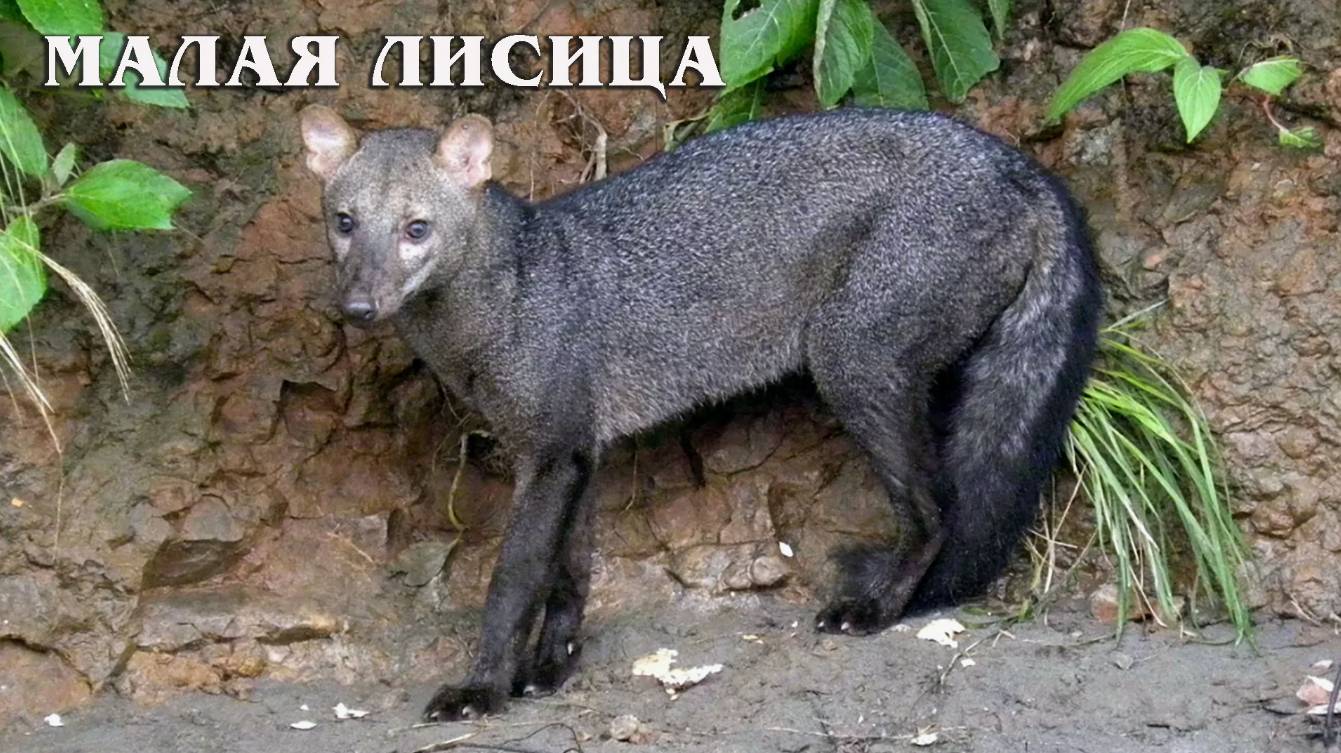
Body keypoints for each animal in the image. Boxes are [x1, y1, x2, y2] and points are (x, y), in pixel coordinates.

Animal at [298, 103, 1102, 721]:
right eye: (345, 223)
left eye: (416, 230)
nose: (359, 307)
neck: (511, 295)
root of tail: (1015, 162)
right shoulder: (577, 449)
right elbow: (568, 575)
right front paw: (551, 667)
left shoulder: (551, 453)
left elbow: (512, 581)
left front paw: (483, 687)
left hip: (851, 363)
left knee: (936, 509)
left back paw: (876, 610)